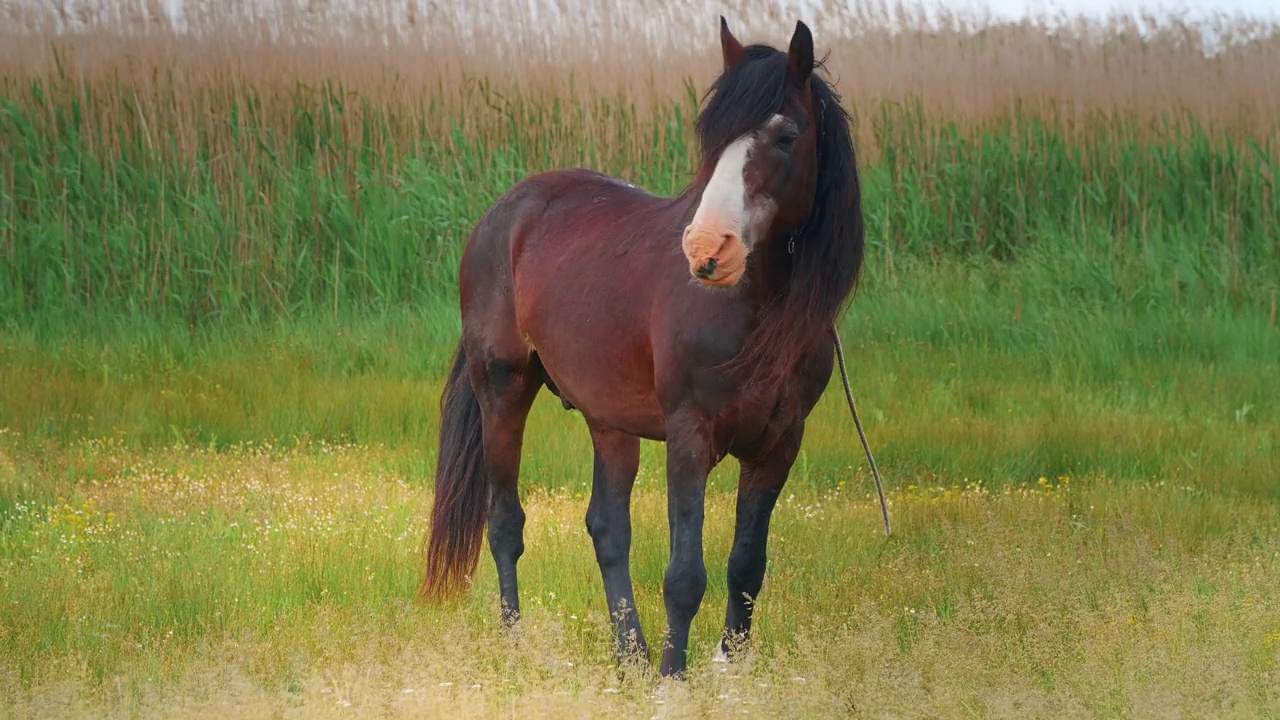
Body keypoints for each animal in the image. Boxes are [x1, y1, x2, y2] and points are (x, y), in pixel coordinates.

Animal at [417, 18, 860, 676]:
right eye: (712, 135)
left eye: (786, 135)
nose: (706, 249)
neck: (755, 312)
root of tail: (506, 210)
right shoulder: (689, 435)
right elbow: (685, 575)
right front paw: (674, 678)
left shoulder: (779, 444)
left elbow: (746, 568)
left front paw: (728, 672)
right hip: (503, 388)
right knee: (504, 522)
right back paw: (518, 645)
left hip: (609, 421)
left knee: (607, 529)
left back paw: (630, 656)